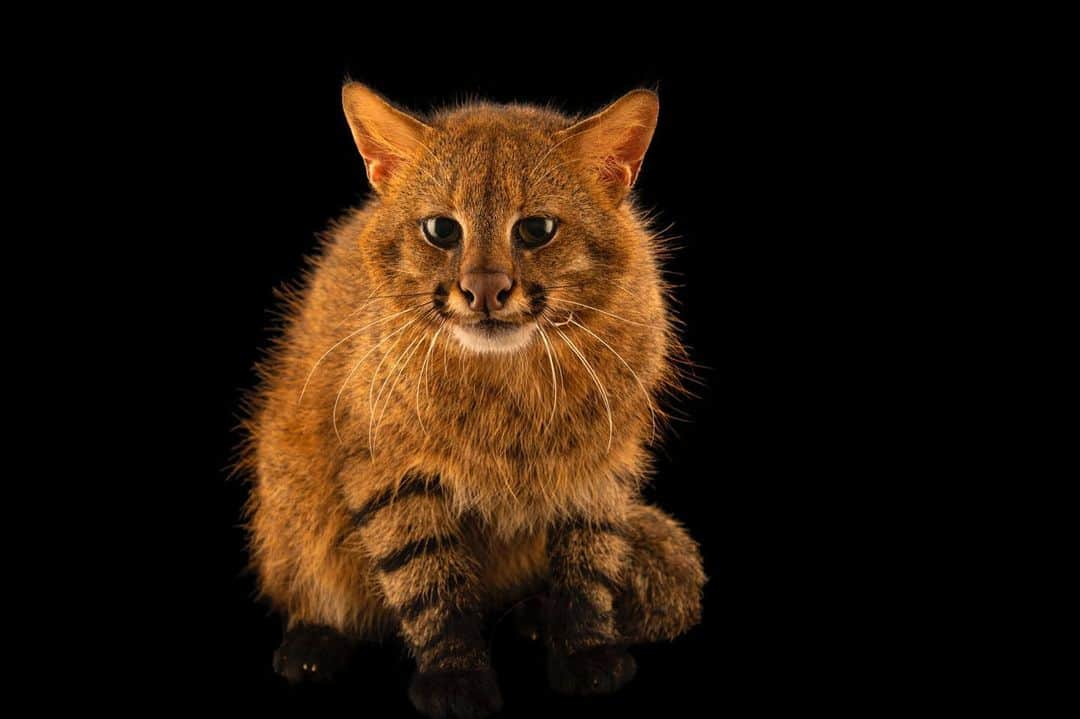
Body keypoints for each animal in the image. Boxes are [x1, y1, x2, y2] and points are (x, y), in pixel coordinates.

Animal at [241, 85, 704, 716]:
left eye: (536, 229)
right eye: (441, 230)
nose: (485, 289)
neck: (506, 383)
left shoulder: (601, 467)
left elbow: (589, 566)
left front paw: (585, 652)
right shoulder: (390, 475)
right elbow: (429, 581)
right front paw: (455, 677)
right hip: (289, 493)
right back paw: (314, 640)